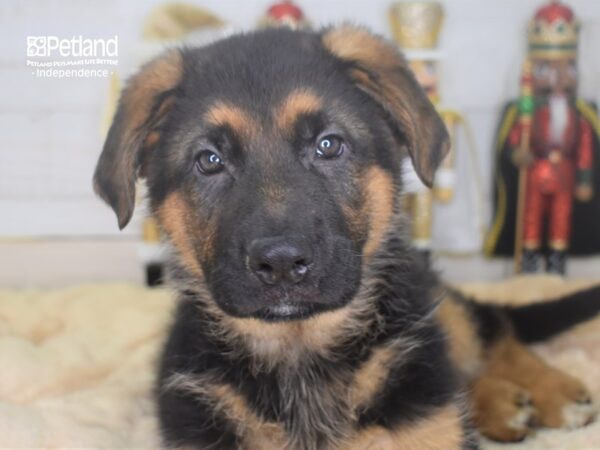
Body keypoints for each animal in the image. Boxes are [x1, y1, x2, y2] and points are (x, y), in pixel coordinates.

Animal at [95, 25, 600, 450]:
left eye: (328, 145)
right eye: (209, 160)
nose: (281, 264)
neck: (300, 354)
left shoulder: (428, 422)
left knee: (490, 326)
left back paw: (550, 392)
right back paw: (501, 403)